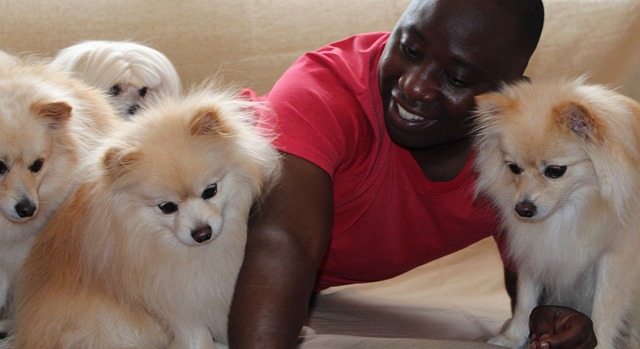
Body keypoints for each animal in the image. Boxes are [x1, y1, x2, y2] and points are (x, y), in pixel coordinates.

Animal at [472, 77, 640, 348]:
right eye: (514, 168)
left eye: (555, 171)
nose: (523, 209)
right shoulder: (536, 249)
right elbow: (525, 300)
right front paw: (512, 337)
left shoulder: (616, 258)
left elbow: (605, 308)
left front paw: (600, 342)